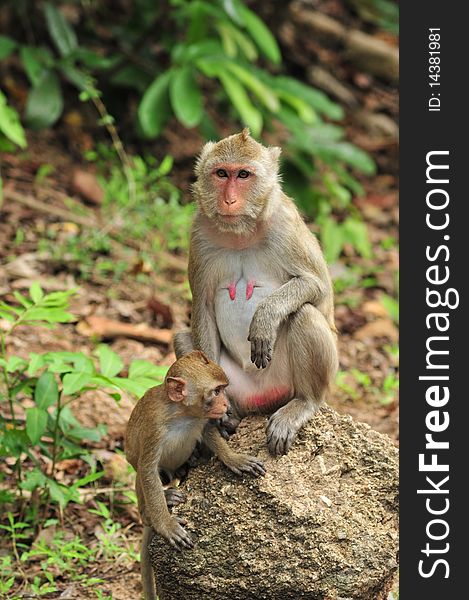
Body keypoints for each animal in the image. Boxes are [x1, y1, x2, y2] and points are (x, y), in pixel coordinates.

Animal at [124, 352, 266, 600]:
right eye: (216, 391)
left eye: (223, 389)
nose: (226, 404)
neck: (183, 414)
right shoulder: (154, 427)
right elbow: (147, 469)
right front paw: (165, 525)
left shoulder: (202, 418)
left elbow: (208, 432)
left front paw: (234, 459)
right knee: (142, 473)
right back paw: (152, 511)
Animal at [175, 127, 336, 454]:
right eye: (221, 173)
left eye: (244, 175)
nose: (229, 200)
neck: (241, 234)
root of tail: (261, 399)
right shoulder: (199, 234)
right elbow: (203, 307)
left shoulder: (285, 223)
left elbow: (319, 289)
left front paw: (265, 317)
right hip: (237, 386)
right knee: (184, 339)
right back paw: (227, 419)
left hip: (286, 382)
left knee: (304, 313)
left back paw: (304, 403)